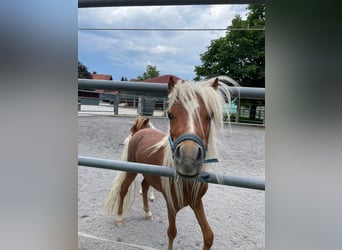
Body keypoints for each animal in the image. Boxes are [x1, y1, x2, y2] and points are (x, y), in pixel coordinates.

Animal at [105, 76, 235, 250]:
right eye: (170, 115)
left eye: (210, 116)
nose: (188, 157)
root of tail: (141, 131)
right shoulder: (171, 205)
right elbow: (172, 232)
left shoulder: (196, 202)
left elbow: (209, 236)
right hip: (131, 170)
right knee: (123, 189)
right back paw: (119, 218)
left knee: (144, 187)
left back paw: (147, 213)